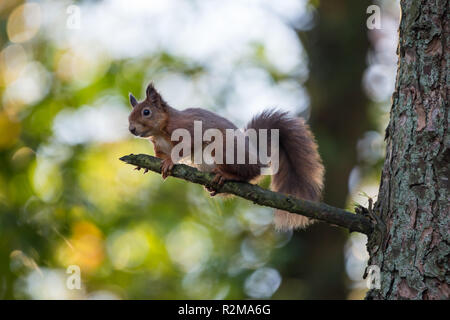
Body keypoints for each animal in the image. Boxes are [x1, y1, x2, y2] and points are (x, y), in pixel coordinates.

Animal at [127, 82, 324, 228]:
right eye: (130, 115)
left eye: (146, 112)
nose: (131, 129)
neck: (159, 131)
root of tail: (256, 156)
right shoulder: (160, 146)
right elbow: (159, 155)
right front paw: (145, 165)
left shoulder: (188, 131)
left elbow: (183, 149)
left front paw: (169, 162)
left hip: (223, 149)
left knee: (248, 173)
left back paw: (227, 175)